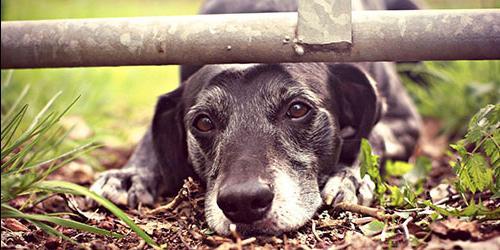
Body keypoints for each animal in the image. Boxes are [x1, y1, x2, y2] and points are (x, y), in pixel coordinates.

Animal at [91, 0, 422, 235]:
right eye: (203, 122)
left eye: (297, 109)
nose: (243, 202)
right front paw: (131, 173)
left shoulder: (404, 123)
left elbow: (372, 136)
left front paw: (350, 176)